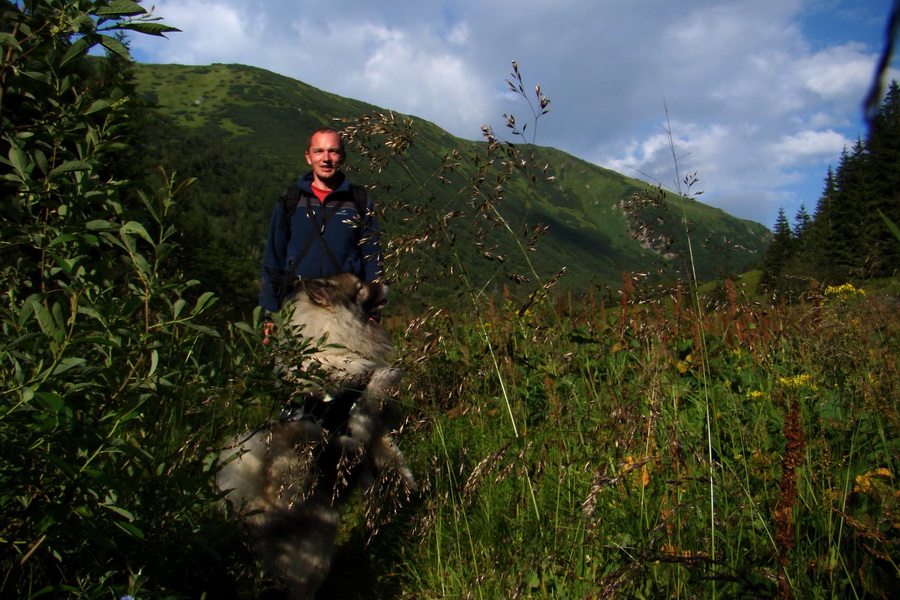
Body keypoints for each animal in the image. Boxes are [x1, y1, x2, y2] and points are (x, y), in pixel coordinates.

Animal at [218, 274, 414, 600]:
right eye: (360, 287)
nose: (384, 282)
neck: (333, 339)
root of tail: (256, 511)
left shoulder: (370, 438)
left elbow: (387, 462)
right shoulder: (367, 418)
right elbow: (383, 391)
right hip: (315, 552)